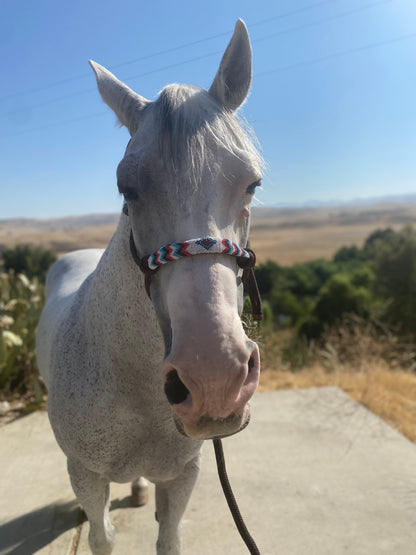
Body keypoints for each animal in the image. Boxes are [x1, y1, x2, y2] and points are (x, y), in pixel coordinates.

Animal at [37, 18, 262, 555]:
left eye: (252, 184)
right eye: (126, 187)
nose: (214, 379)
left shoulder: (184, 474)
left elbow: (169, 538)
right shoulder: (87, 474)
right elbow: (101, 537)